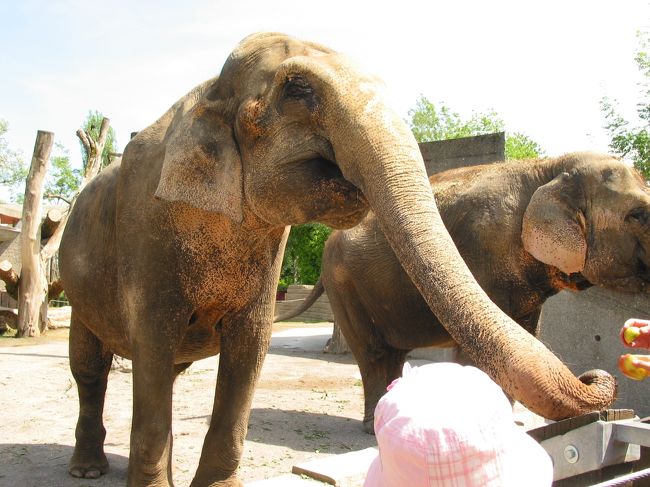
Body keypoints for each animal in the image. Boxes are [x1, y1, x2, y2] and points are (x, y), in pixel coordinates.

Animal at [274, 153, 648, 434]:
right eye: (639, 215)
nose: (591, 374)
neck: (548, 166)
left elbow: (524, 335)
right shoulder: (484, 252)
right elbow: (482, 349)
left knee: (394, 352)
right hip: (345, 284)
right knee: (374, 352)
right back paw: (373, 428)